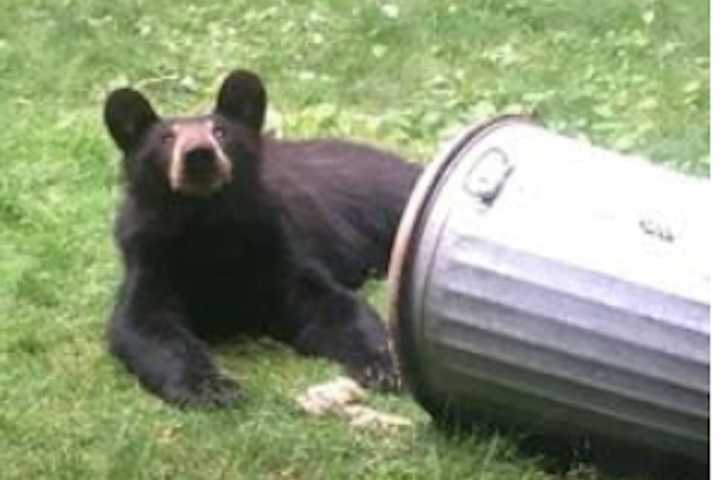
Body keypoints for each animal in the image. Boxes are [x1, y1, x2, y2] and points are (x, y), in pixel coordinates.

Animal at [104, 69, 424, 406]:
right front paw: (212, 387)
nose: (199, 155)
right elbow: (145, 324)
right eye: (166, 138)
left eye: (220, 132)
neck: (205, 224)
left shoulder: (276, 246)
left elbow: (333, 304)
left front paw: (384, 366)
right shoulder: (150, 256)